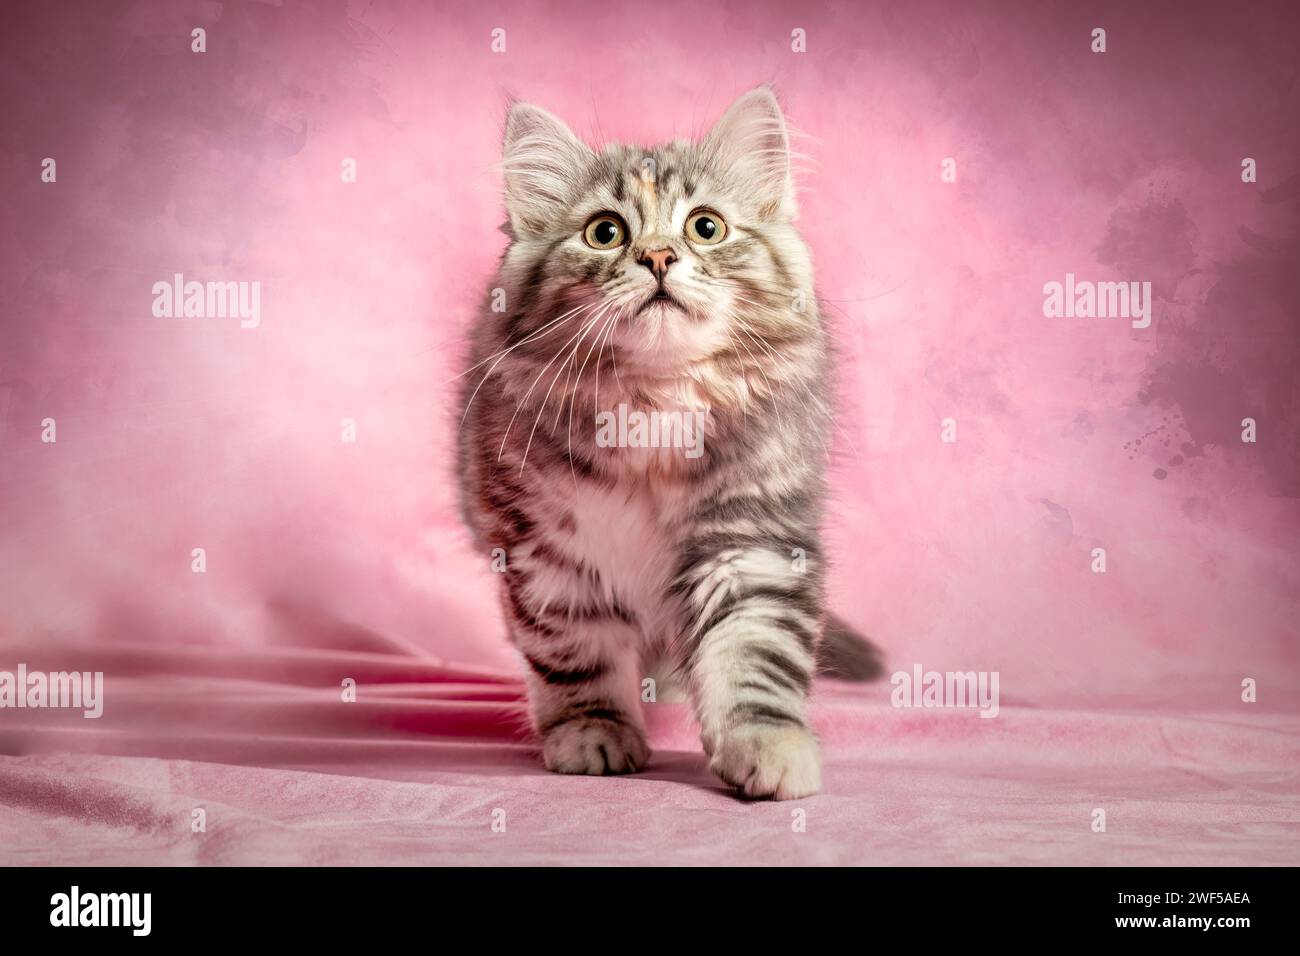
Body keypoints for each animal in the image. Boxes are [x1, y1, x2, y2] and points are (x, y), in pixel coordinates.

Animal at [462, 85, 878, 801]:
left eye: (705, 227)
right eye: (605, 232)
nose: (657, 258)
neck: (655, 404)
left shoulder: (751, 542)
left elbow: (753, 653)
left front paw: (768, 746)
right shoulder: (549, 552)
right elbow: (575, 655)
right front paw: (591, 732)